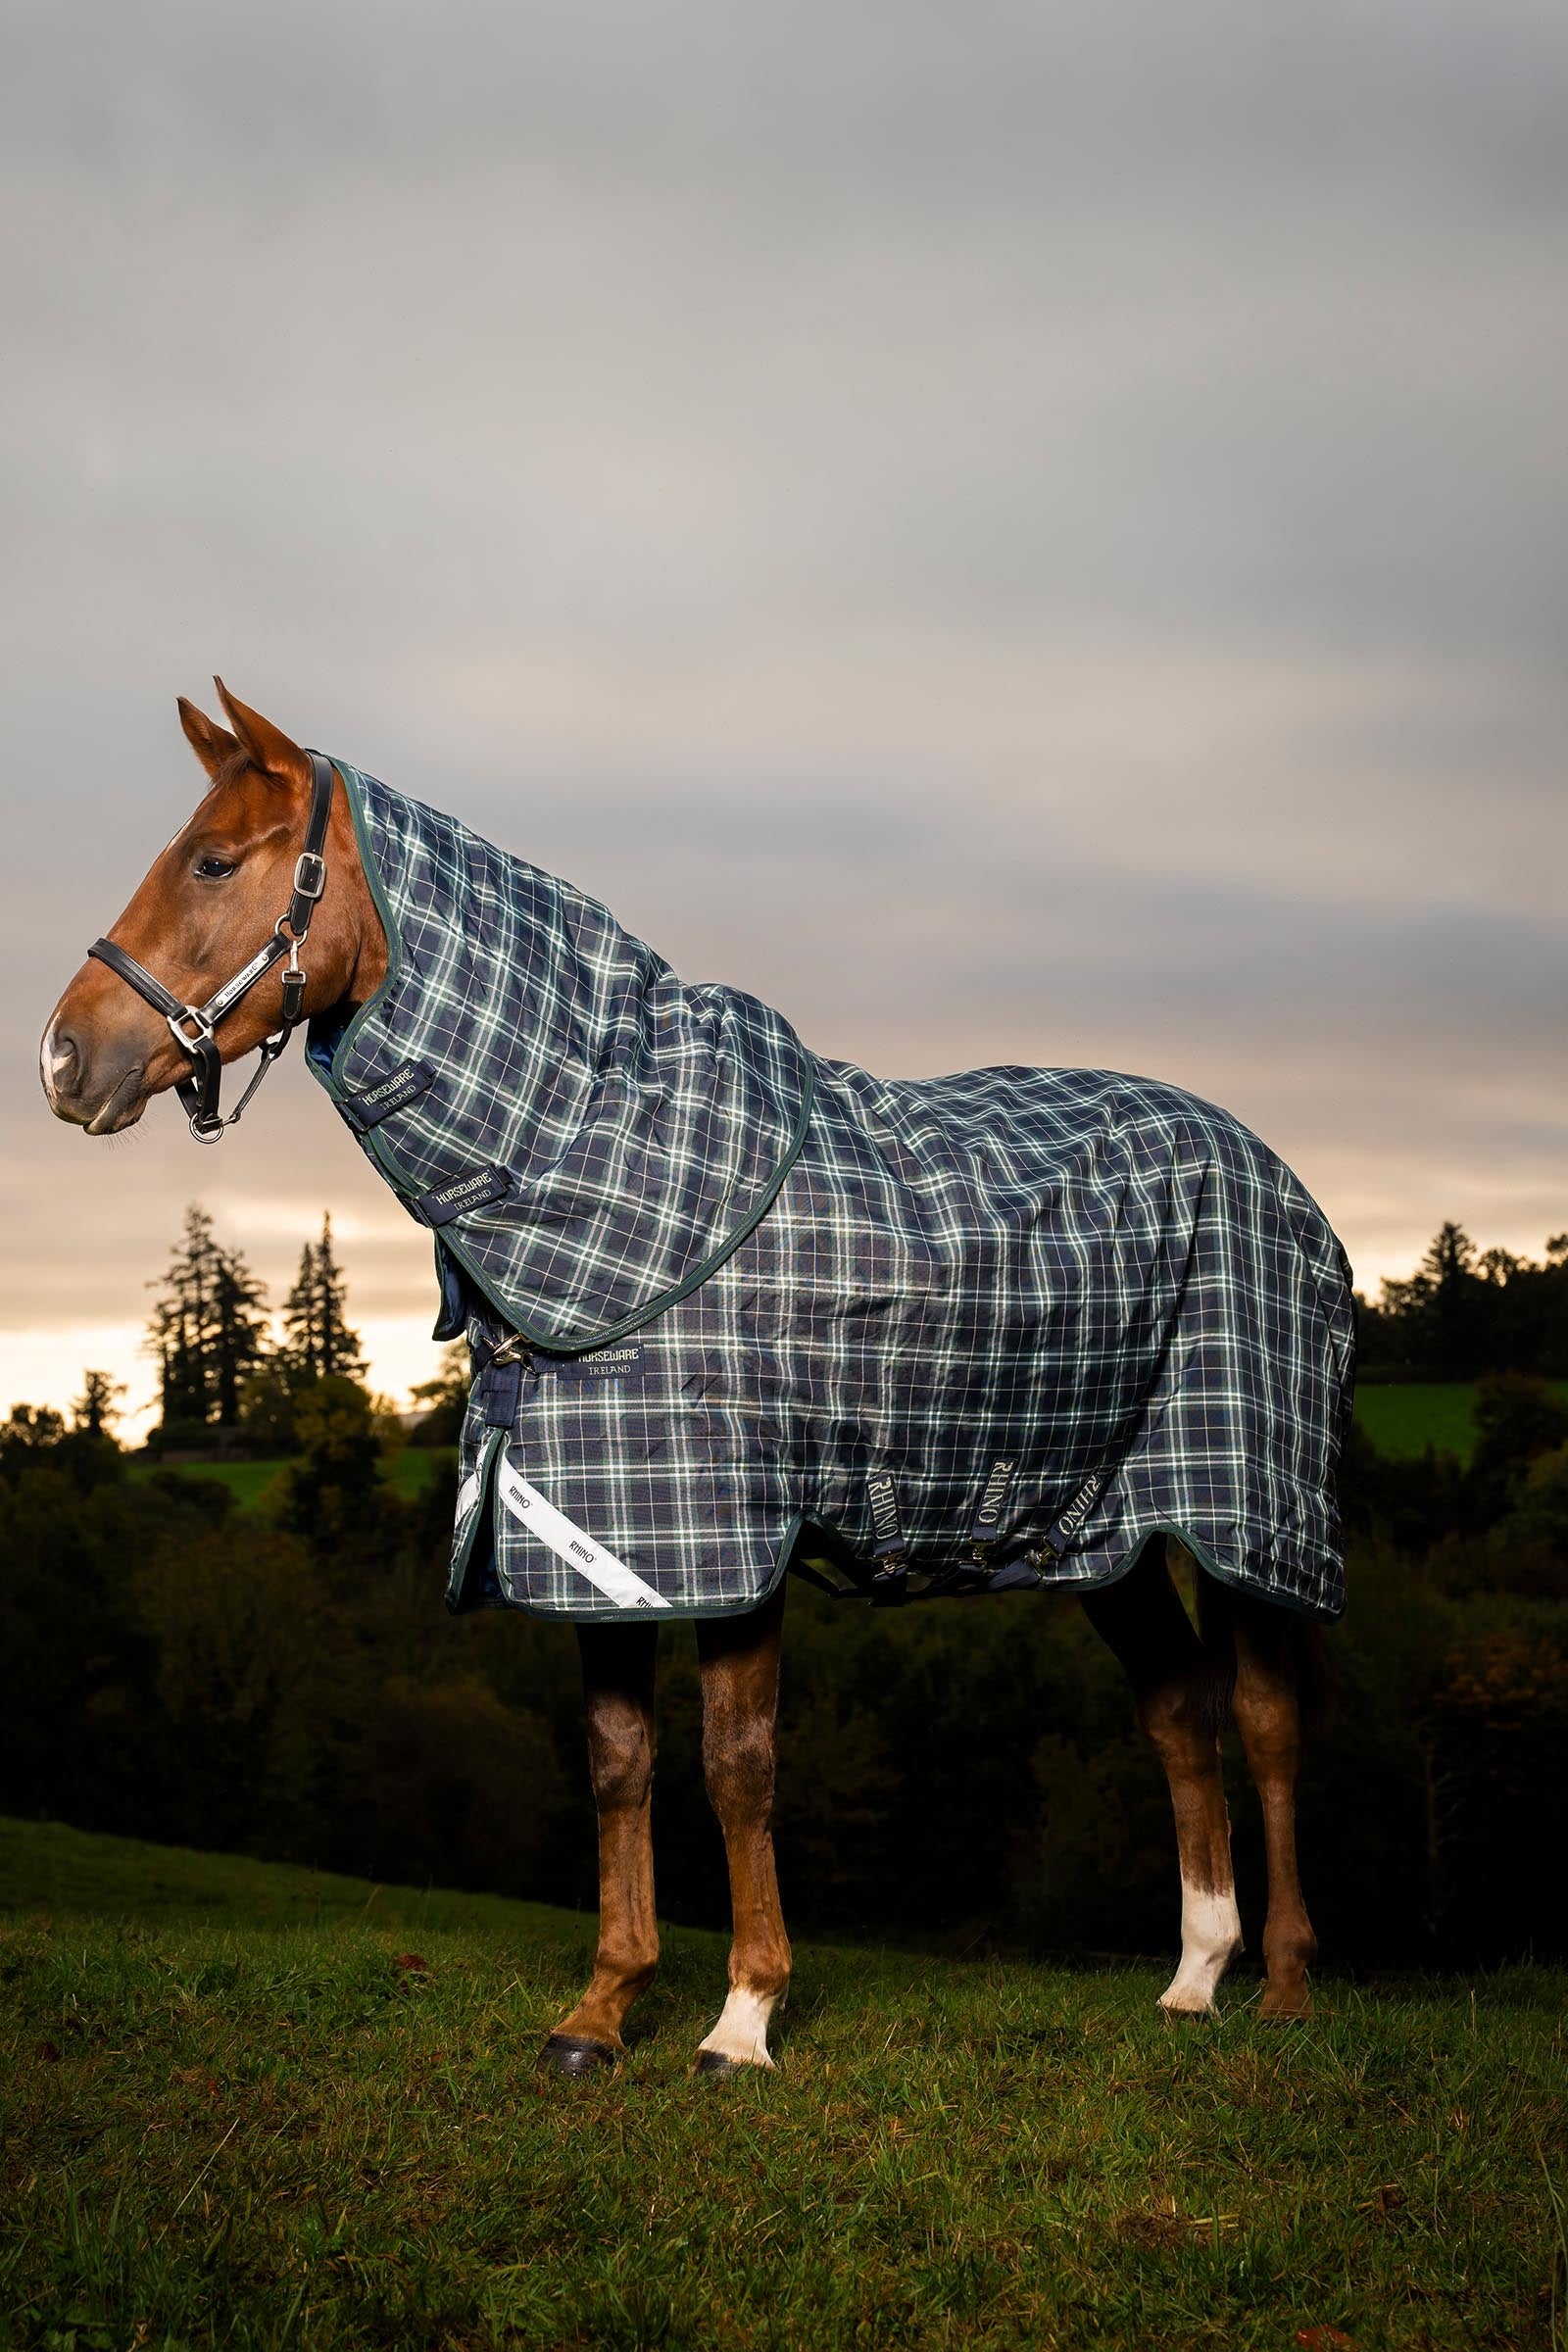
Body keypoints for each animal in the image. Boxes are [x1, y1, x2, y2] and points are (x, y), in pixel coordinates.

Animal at [42, 682, 1347, 2073]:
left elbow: (735, 1764)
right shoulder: (590, 1539)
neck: (610, 1170)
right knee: (1178, 1710)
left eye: (213, 862)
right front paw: (602, 2010)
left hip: (1248, 1512)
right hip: (1095, 1527)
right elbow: (619, 1762)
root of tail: (1271, 1170)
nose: (63, 1060)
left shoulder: (731, 1540)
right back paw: (1192, 1979)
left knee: (1266, 1720)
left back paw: (1281, 1985)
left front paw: (743, 2016)